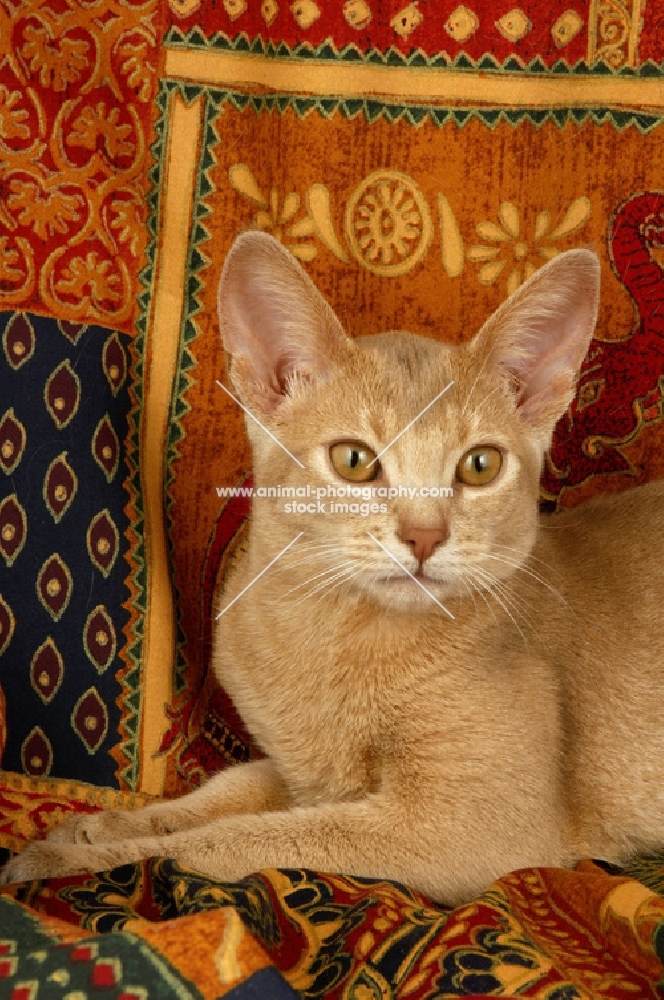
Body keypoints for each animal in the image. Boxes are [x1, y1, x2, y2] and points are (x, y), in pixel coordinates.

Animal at [5, 230, 664, 904]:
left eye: (480, 465)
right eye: (354, 460)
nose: (424, 535)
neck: (327, 638)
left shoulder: (471, 829)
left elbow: (232, 843)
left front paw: (76, 861)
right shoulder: (300, 773)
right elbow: (228, 791)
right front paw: (104, 825)